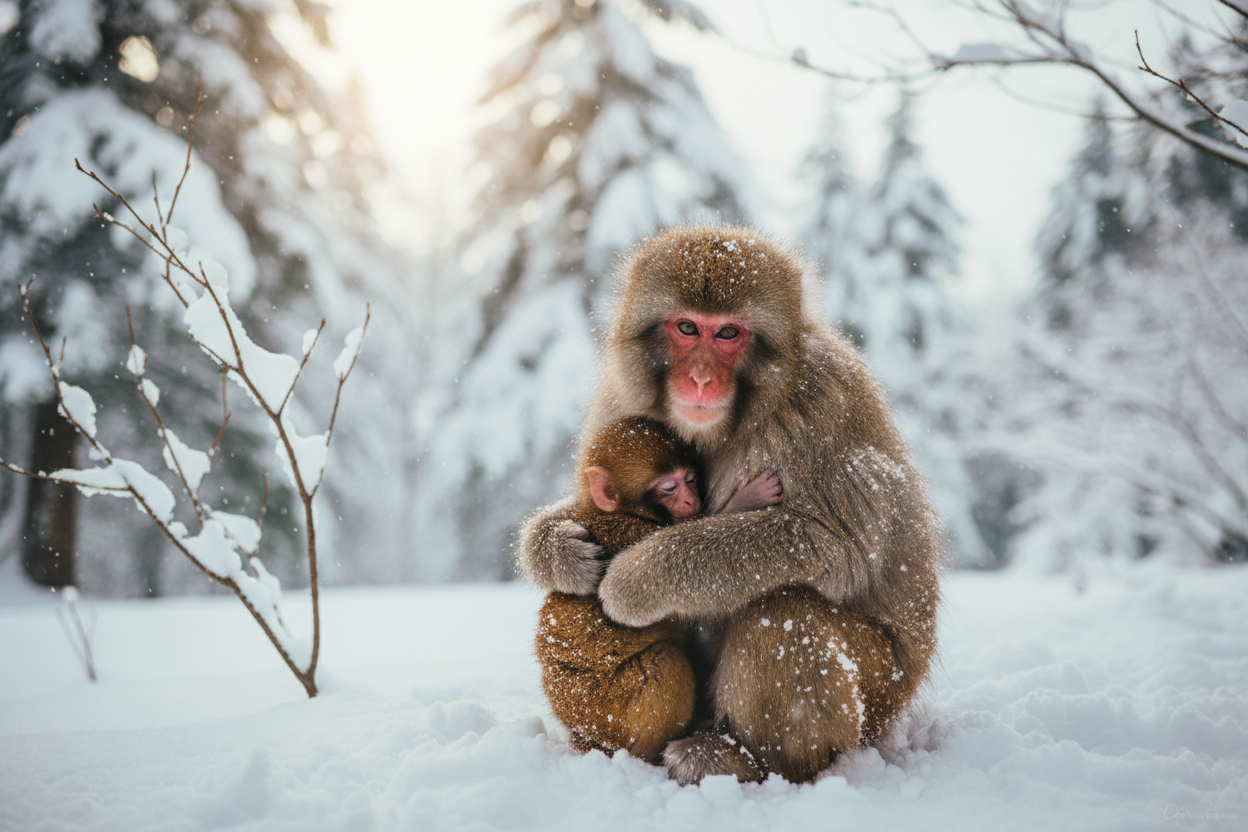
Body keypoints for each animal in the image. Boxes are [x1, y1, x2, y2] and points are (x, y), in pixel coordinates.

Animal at [536, 416, 782, 764]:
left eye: (690, 478)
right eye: (669, 487)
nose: (691, 500)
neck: (622, 511)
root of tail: (583, 735)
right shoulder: (633, 533)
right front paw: (746, 500)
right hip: (610, 712)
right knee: (665, 665)